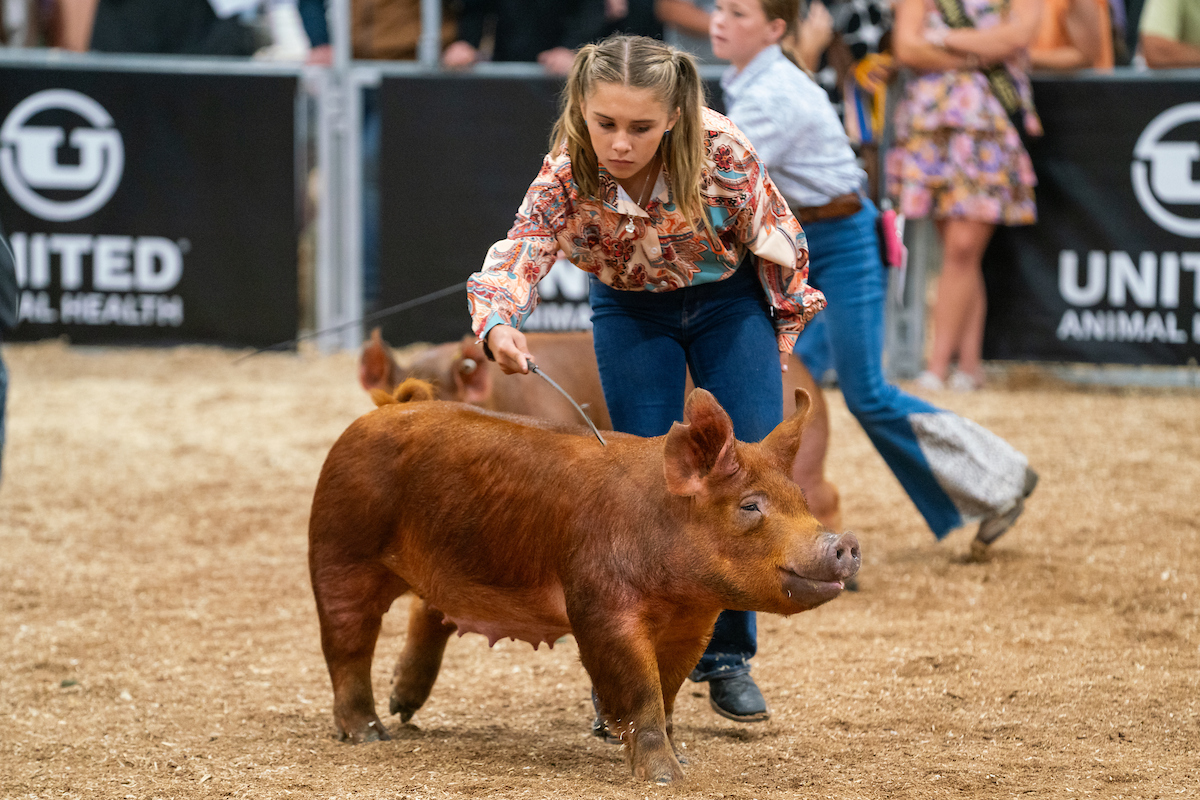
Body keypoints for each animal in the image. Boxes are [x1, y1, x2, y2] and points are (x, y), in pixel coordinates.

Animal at [304, 381, 859, 782]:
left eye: (800, 501)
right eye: (749, 506)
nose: (844, 542)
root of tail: (386, 409)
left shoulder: (693, 625)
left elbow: (669, 690)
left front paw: (682, 759)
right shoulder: (598, 607)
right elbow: (640, 690)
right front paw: (666, 778)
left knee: (430, 611)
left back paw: (404, 709)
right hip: (340, 550)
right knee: (346, 643)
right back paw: (372, 734)